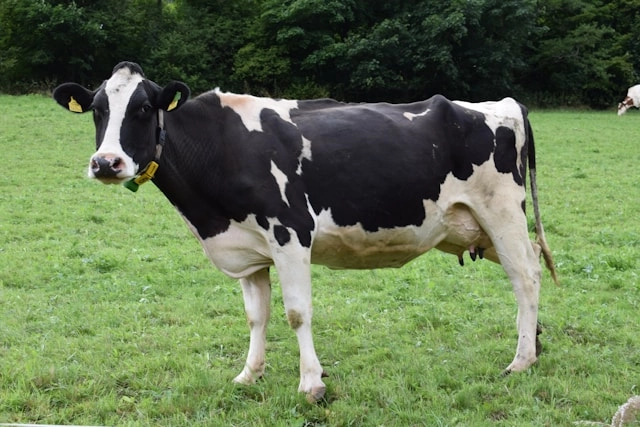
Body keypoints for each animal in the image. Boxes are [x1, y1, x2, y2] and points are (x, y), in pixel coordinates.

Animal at [52, 61, 556, 402]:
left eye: (142, 108)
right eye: (97, 110)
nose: (106, 163)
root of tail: (502, 104)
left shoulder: (290, 234)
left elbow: (296, 313)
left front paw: (311, 383)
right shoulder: (248, 250)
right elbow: (256, 316)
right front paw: (249, 374)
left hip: (502, 212)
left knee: (526, 277)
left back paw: (520, 361)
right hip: (482, 226)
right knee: (528, 269)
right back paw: (533, 343)